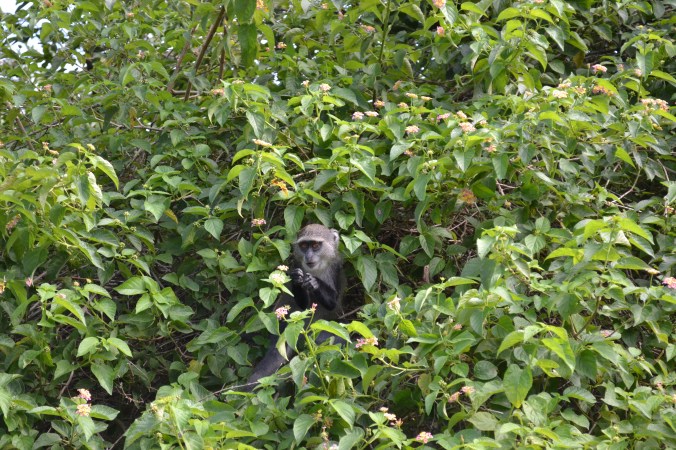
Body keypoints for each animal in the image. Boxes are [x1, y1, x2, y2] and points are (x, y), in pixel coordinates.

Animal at [242, 224, 345, 390]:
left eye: (315, 245)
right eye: (303, 246)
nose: (308, 257)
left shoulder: (336, 267)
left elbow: (333, 304)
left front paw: (314, 283)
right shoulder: (295, 265)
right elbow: (301, 306)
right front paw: (298, 279)